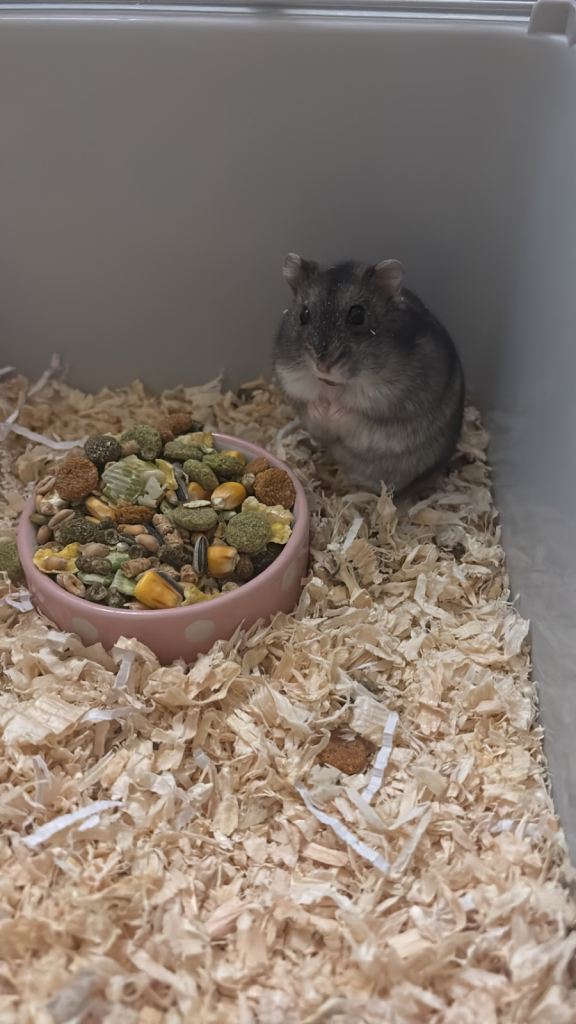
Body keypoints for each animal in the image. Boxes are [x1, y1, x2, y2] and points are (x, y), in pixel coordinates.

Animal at [273, 253, 465, 494]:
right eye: (303, 314)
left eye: (357, 315)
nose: (323, 366)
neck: (333, 387)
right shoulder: (292, 381)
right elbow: (309, 406)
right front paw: (320, 407)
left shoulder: (389, 396)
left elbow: (357, 410)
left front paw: (333, 410)